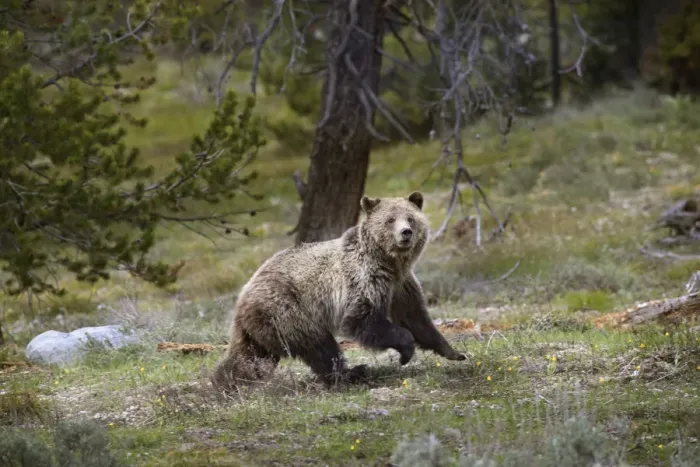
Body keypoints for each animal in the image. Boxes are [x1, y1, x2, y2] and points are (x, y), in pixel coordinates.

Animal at [211, 191, 466, 391]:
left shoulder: (401, 286)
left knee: (248, 358)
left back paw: (224, 384)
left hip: (260, 329)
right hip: (286, 309)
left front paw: (454, 352)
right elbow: (361, 321)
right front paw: (406, 351)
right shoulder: (364, 279)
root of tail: (243, 296)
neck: (389, 262)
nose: (405, 233)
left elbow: (416, 318)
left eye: (411, 218)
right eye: (390, 219)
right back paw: (351, 373)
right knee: (319, 346)